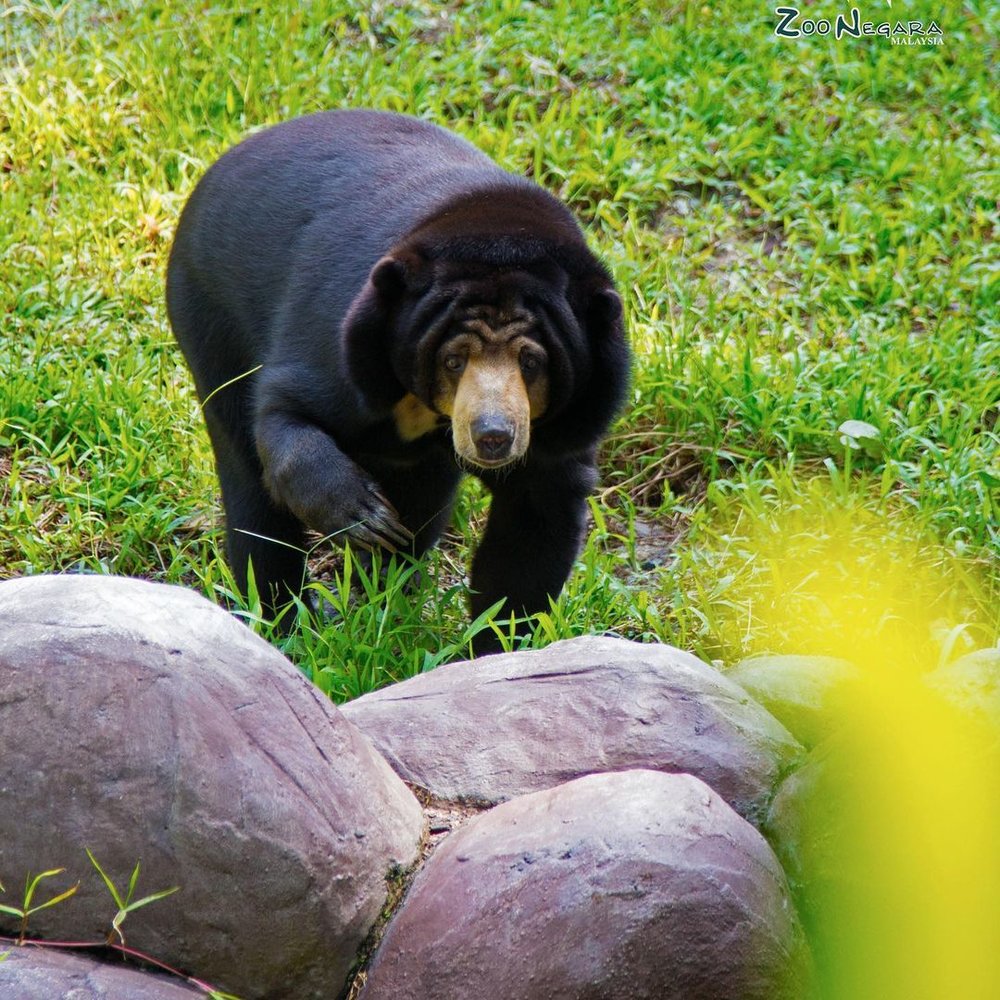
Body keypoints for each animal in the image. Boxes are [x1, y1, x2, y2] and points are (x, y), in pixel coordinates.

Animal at [166, 110, 630, 653]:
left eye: (532, 361)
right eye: (454, 359)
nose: (493, 437)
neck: (423, 407)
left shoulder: (564, 428)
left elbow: (534, 525)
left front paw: (498, 645)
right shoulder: (343, 346)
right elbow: (285, 414)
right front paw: (363, 516)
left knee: (422, 497)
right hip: (211, 310)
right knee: (247, 475)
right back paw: (283, 618)